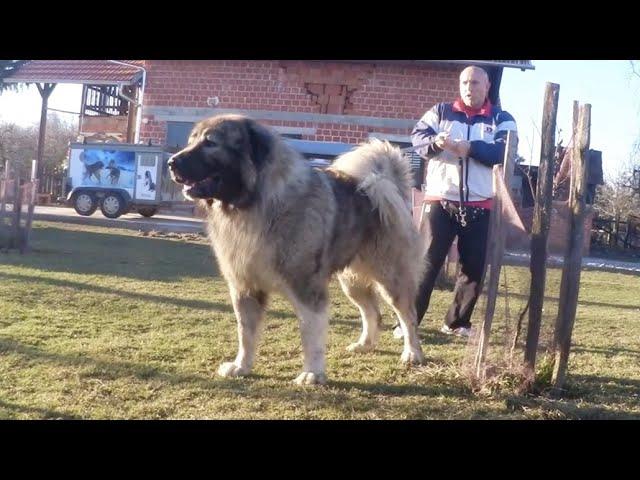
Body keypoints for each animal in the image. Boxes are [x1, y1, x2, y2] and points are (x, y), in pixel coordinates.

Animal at [169, 114, 424, 384]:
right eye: (191, 141)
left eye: (210, 143)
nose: (171, 162)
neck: (257, 205)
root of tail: (386, 184)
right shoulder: (244, 287)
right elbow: (245, 333)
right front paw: (241, 366)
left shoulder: (306, 289)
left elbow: (310, 334)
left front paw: (312, 373)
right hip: (352, 282)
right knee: (372, 312)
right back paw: (365, 345)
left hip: (391, 280)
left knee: (408, 316)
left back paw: (412, 353)